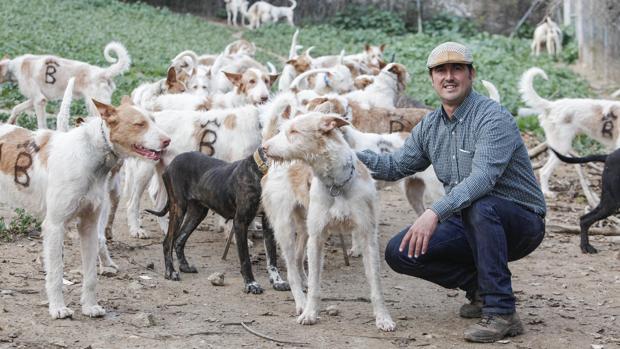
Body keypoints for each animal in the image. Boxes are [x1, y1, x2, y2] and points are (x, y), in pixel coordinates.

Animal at [0, 96, 170, 318]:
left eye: (154, 120)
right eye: (139, 124)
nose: (168, 141)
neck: (90, 154)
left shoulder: (89, 225)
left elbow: (90, 276)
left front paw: (89, 306)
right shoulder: (54, 226)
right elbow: (56, 273)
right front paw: (57, 308)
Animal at [1, 41, 131, 129]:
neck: (12, 68)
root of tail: (103, 72)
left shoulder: (39, 100)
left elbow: (41, 123)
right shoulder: (38, 99)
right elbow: (16, 108)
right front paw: (10, 122)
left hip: (94, 105)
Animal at [148, 147, 290, 294]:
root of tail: (172, 163)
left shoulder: (268, 224)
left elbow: (272, 257)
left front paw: (278, 281)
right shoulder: (240, 222)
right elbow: (245, 259)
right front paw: (251, 284)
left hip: (197, 213)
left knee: (179, 239)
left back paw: (184, 267)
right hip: (178, 207)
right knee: (168, 242)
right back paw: (170, 272)